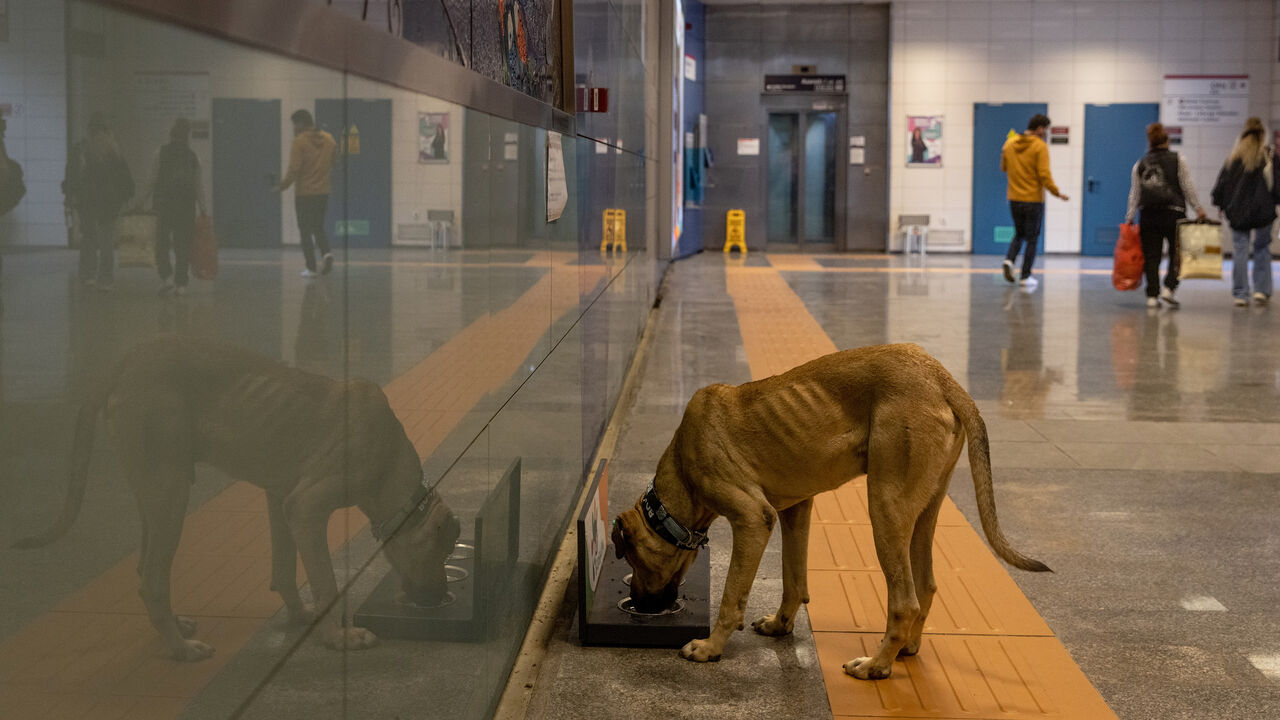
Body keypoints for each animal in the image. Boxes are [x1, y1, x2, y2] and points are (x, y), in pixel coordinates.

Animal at [11, 338, 460, 661]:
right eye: (439, 551)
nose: (440, 597)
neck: (389, 460)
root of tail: (125, 363)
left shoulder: (281, 501)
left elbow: (285, 570)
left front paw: (301, 617)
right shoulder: (306, 508)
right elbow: (325, 581)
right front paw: (338, 637)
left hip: (152, 493)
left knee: (144, 569)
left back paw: (174, 628)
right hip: (171, 492)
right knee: (153, 579)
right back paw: (180, 650)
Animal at [611, 345, 1049, 676]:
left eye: (632, 559)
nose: (638, 603)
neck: (682, 470)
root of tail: (942, 378)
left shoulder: (753, 518)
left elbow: (732, 595)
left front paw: (710, 647)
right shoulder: (795, 509)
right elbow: (793, 580)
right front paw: (780, 625)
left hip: (885, 507)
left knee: (904, 601)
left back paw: (876, 665)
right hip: (924, 510)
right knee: (925, 586)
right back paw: (907, 648)